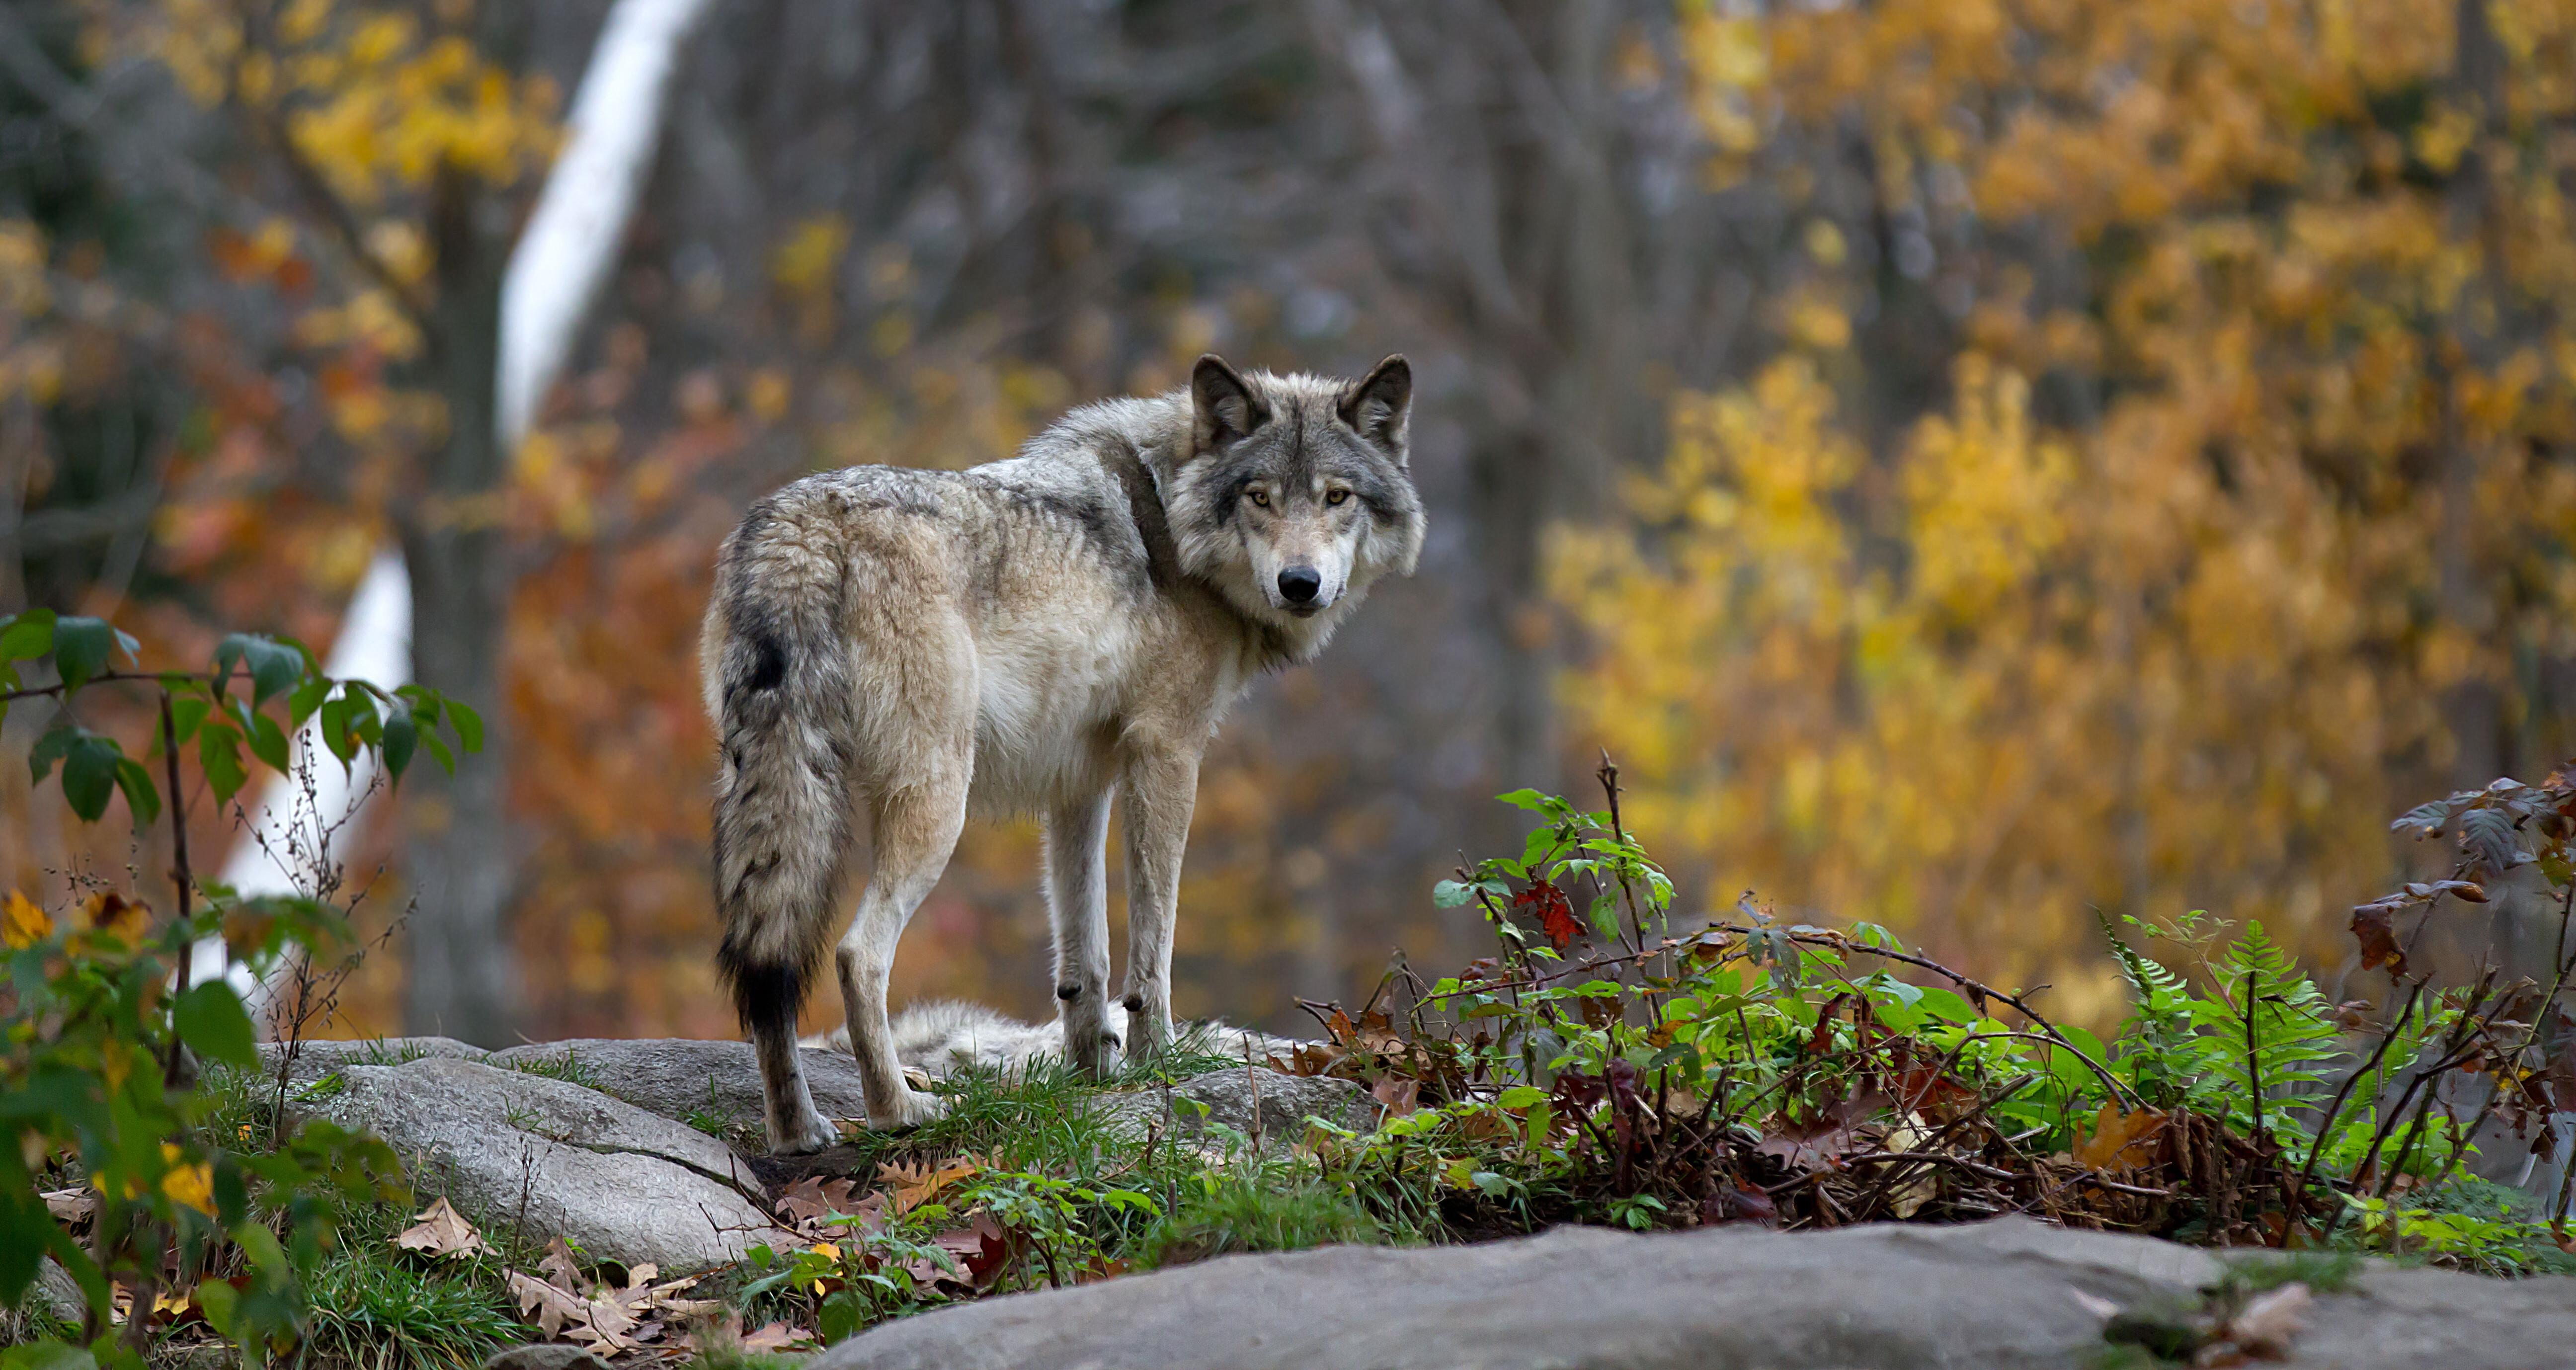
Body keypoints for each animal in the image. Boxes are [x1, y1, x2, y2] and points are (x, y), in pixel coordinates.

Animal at [703, 353, 1425, 1152]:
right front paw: (1156, 1062)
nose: (1301, 585)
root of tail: (800, 527)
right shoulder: (1168, 754)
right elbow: (1153, 944)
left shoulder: (1079, 783)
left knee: (768, 965)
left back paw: (798, 1131)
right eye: (1260, 498)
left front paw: (1091, 1075)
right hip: (937, 803)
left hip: (774, 791)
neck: (1170, 520)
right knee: (858, 954)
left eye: (1337, 497)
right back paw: (900, 1110)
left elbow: (1086, 955)